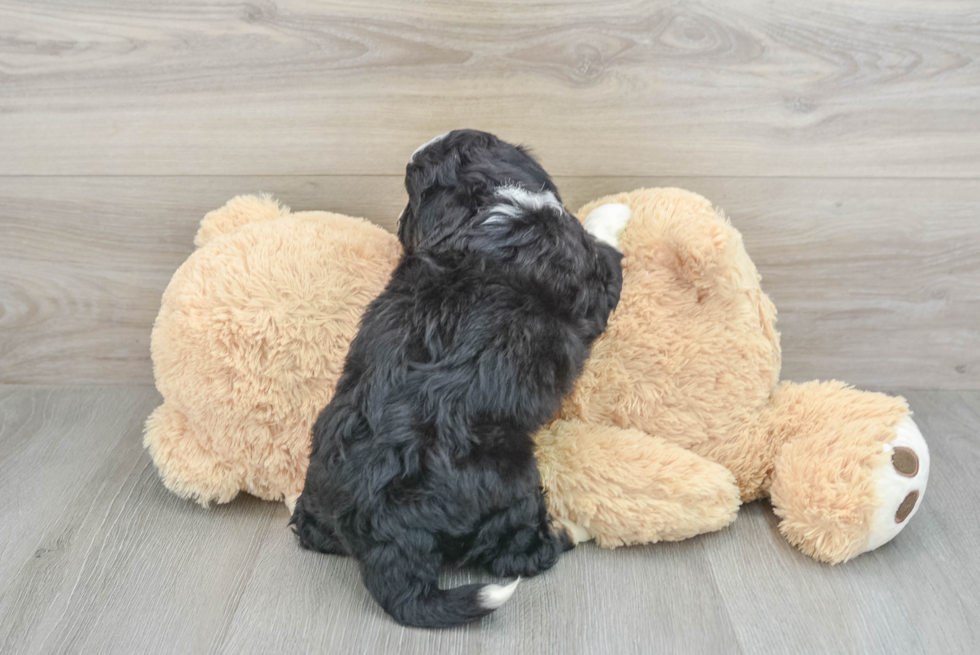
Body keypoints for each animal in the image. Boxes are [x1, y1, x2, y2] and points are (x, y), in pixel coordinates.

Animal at [290, 131, 624, 628]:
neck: (478, 205)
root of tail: (382, 536)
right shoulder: (594, 273)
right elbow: (602, 240)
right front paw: (617, 209)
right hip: (511, 479)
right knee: (519, 553)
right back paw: (568, 531)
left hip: (319, 486)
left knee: (308, 529)